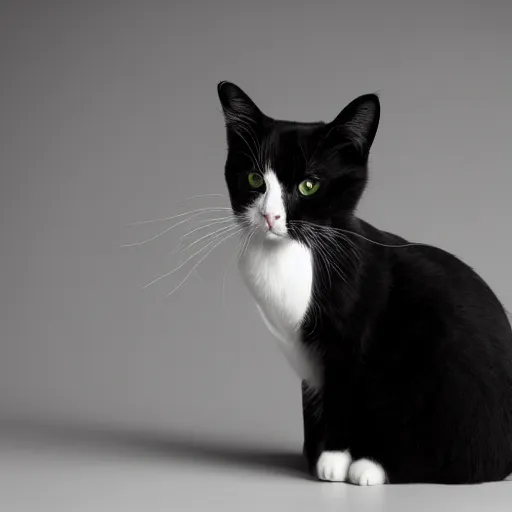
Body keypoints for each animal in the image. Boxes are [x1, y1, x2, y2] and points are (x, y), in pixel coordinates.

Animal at [216, 80, 512, 484]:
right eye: (254, 179)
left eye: (309, 185)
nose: (270, 216)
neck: (294, 253)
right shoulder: (308, 363)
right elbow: (313, 406)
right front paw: (313, 454)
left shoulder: (352, 340)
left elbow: (345, 394)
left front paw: (334, 459)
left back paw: (374, 464)